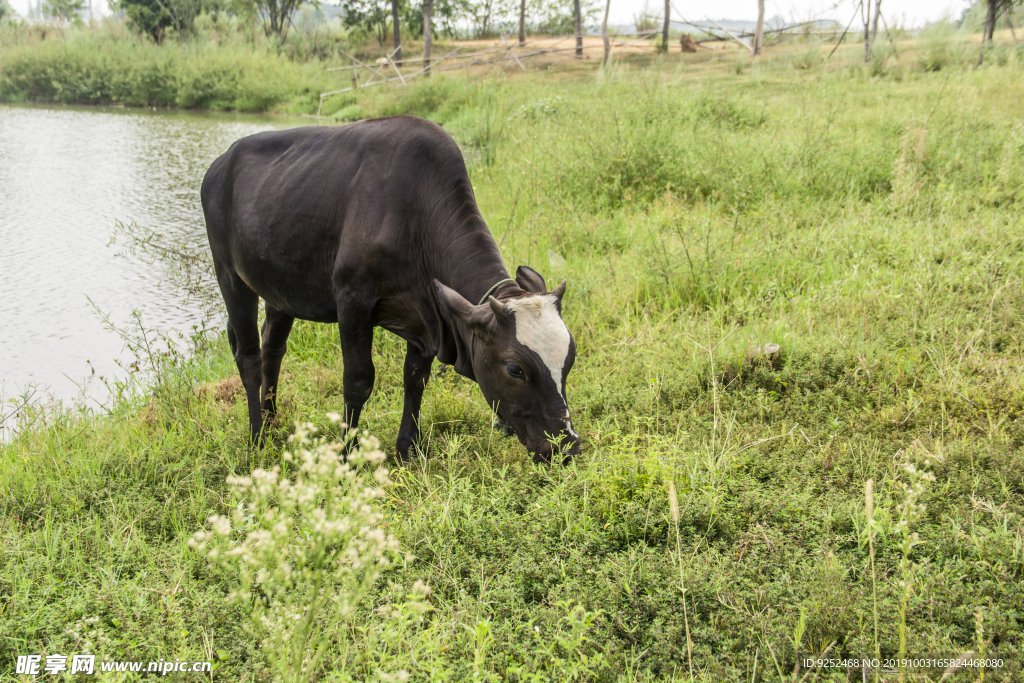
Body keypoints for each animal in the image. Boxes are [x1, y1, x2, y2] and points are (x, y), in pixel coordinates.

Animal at [201, 114, 585, 462]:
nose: (566, 446)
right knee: (249, 356)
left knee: (273, 349)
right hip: (230, 276)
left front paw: (407, 450)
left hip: (280, 290)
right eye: (515, 369)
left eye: (570, 358)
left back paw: (271, 422)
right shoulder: (352, 302)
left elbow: (415, 378)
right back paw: (257, 439)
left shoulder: (427, 317)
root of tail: (220, 163)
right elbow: (358, 381)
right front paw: (346, 455)